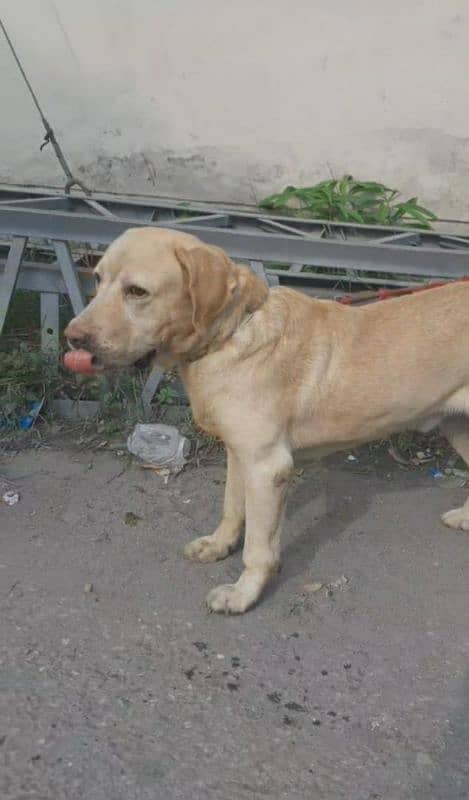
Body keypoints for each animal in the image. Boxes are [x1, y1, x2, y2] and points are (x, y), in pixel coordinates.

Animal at [66, 228, 469, 616]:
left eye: (137, 291)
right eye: (97, 278)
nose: (72, 338)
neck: (231, 334)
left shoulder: (267, 466)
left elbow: (258, 547)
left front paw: (243, 595)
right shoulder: (237, 453)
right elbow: (231, 507)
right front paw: (218, 545)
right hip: (459, 428)